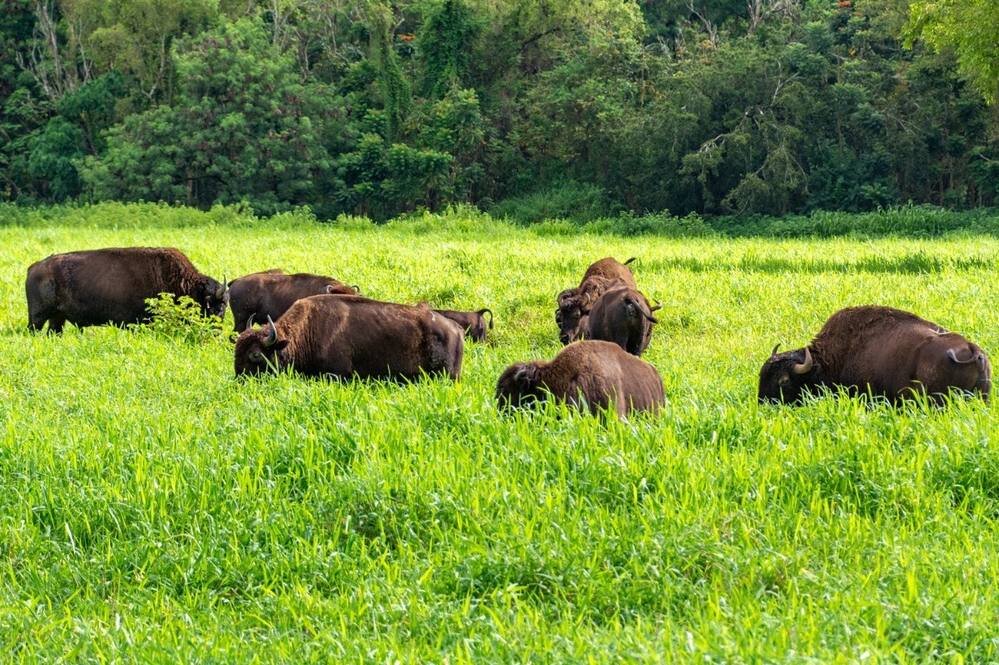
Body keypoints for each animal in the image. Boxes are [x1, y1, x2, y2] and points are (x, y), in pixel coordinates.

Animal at [26, 247, 226, 332]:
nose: (217, 331)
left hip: (57, 317)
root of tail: (34, 267)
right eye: (217, 306)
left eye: (225, 305)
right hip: (38, 317)